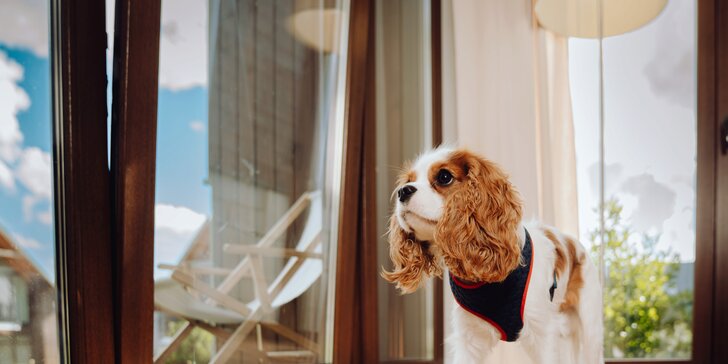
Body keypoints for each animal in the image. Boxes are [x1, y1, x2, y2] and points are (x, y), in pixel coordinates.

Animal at [382, 147, 604, 364]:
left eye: (444, 177)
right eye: (408, 180)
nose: (403, 191)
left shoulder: (544, 334)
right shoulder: (469, 339)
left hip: (590, 327)